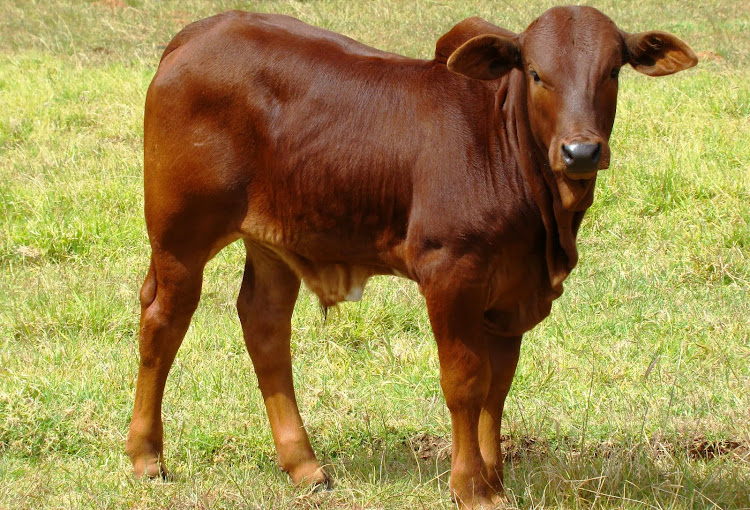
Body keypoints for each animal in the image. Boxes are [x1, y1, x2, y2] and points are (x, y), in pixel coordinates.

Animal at [128, 5, 700, 508]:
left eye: (612, 70)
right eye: (537, 73)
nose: (581, 152)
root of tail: (201, 32)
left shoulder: (512, 290)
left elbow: (499, 385)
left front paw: (494, 477)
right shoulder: (451, 273)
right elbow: (466, 382)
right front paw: (471, 487)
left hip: (274, 240)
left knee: (264, 326)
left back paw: (304, 467)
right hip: (180, 236)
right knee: (163, 321)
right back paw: (146, 456)